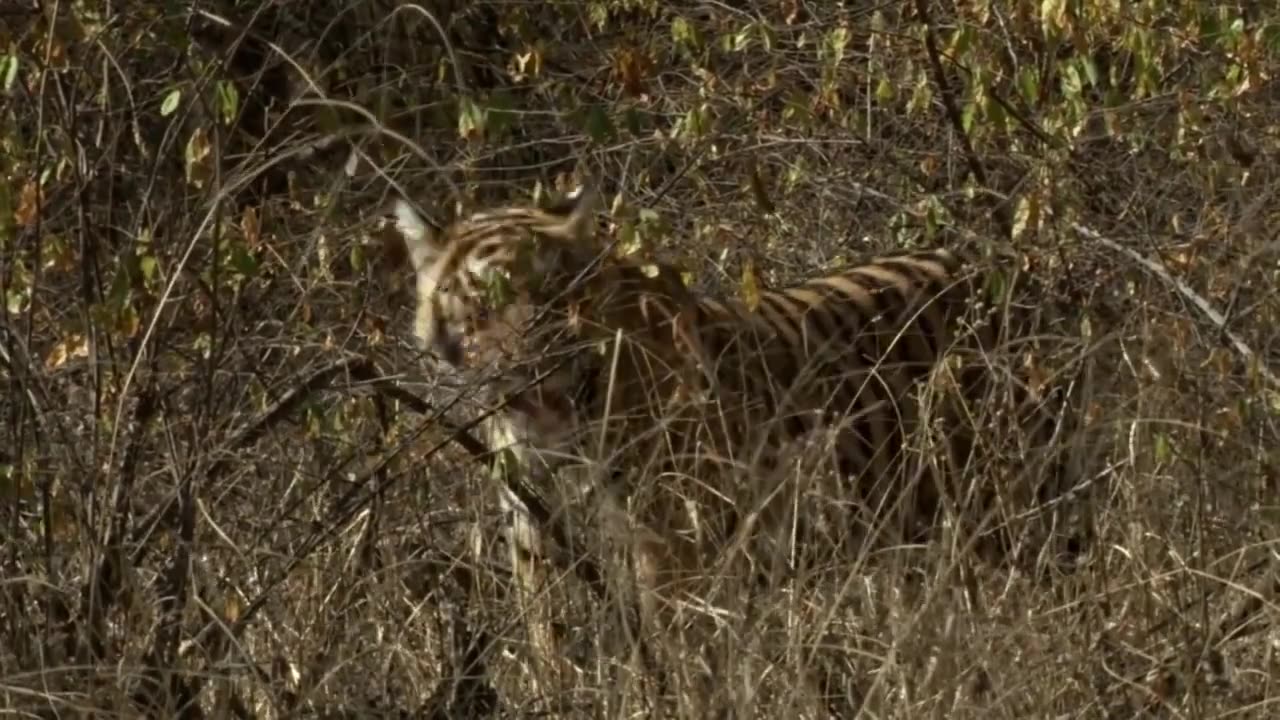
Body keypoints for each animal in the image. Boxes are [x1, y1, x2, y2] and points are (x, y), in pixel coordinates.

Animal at [391, 180, 1090, 707]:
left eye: (558, 289)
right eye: (484, 295)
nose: (537, 355)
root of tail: (1006, 267)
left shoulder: (672, 541)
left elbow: (684, 651)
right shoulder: (535, 532)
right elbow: (548, 635)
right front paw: (556, 693)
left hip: (1020, 507)